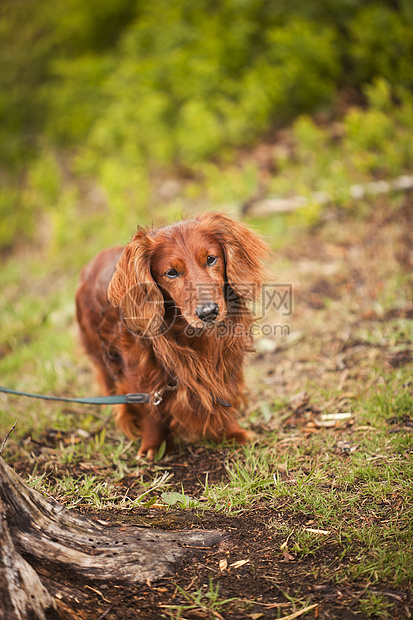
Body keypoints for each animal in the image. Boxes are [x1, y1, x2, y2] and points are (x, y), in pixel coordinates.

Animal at [75, 211, 268, 458]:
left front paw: (231, 432)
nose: (208, 313)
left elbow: (222, 394)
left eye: (211, 259)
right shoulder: (141, 375)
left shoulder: (223, 362)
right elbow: (151, 412)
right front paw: (155, 446)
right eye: (171, 272)